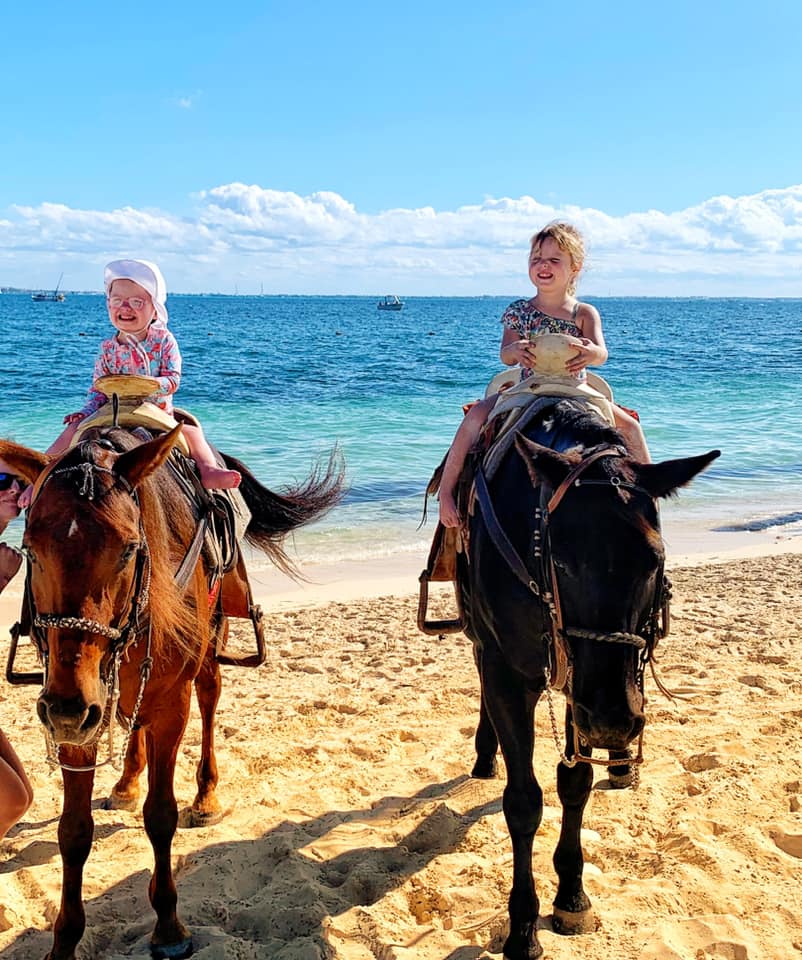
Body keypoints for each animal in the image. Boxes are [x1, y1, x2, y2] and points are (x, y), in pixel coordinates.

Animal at [0, 428, 340, 960]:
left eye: (127, 549)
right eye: (30, 550)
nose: (66, 708)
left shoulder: (167, 705)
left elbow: (161, 816)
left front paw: (168, 927)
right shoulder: (77, 712)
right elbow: (73, 831)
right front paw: (65, 940)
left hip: (207, 649)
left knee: (210, 699)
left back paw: (206, 794)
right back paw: (124, 784)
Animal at [456, 398, 720, 960]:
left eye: (655, 560)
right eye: (561, 559)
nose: (613, 721)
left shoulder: (584, 689)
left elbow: (575, 782)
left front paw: (572, 895)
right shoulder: (511, 675)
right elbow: (524, 801)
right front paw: (522, 926)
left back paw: (619, 763)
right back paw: (486, 752)